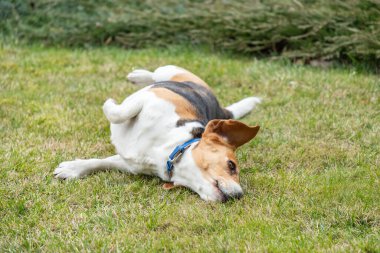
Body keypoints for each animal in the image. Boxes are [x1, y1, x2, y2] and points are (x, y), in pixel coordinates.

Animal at [53, 64, 262, 202]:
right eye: (232, 166)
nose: (239, 195)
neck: (169, 149)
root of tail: (220, 108)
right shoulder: (148, 98)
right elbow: (119, 113)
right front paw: (110, 104)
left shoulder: (129, 163)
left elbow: (104, 161)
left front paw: (73, 168)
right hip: (169, 70)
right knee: (155, 75)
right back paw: (138, 75)